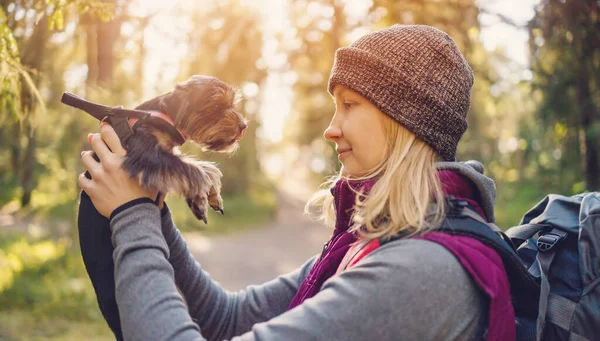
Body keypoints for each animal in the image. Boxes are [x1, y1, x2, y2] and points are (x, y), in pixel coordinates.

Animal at [63, 74, 248, 222]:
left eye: (232, 104)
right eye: (216, 107)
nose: (244, 126)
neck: (167, 116)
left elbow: (201, 167)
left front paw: (211, 195)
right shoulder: (145, 153)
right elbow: (193, 169)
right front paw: (201, 197)